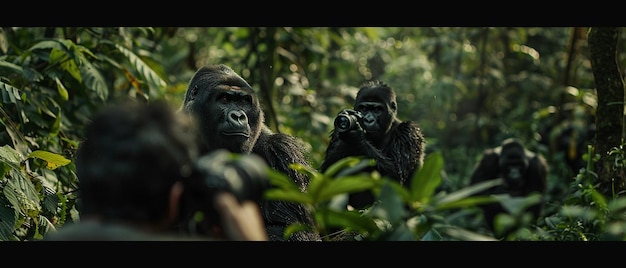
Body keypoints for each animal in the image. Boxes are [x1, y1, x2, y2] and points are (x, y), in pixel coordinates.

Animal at [320, 79, 426, 209]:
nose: (368, 120)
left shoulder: (409, 131)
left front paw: (357, 139)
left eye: (377, 110)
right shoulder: (336, 130)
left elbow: (397, 176)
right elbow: (327, 176)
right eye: (363, 109)